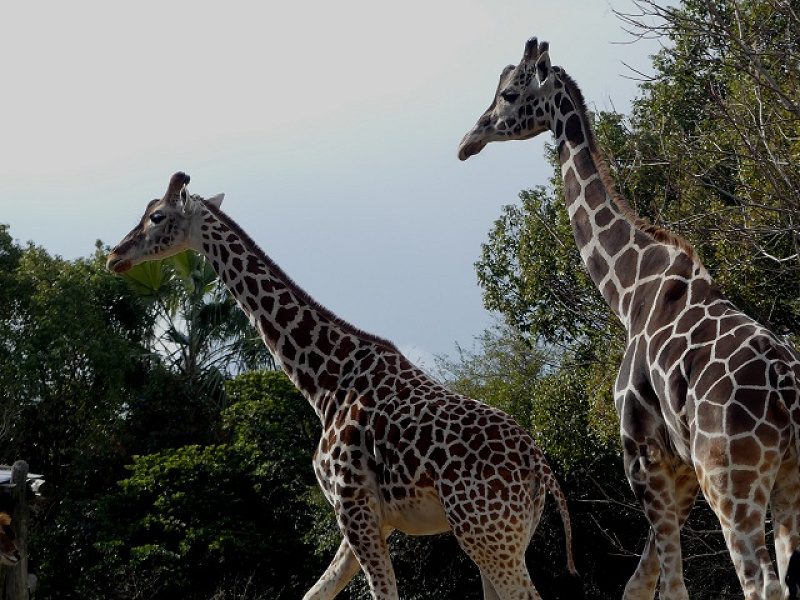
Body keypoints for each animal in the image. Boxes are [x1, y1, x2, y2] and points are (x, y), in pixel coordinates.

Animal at [108, 172, 580, 600]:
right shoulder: (363, 516)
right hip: (500, 537)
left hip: (487, 533)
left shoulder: (353, 506)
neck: (324, 383)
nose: (115, 256)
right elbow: (316, 592)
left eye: (157, 216)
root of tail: (539, 463)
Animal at [460, 36, 800, 600]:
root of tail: (789, 397)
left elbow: (670, 588)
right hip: (787, 477)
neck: (628, 293)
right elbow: (639, 583)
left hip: (732, 480)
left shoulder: (643, 456)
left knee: (761, 583)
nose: (468, 141)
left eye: (509, 94)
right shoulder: (679, 472)